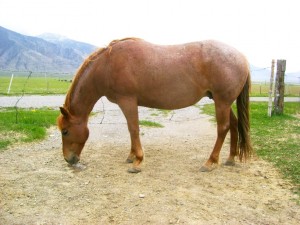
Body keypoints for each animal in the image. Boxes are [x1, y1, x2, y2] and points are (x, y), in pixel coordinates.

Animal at [56, 37, 253, 173]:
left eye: (65, 131)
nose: (68, 159)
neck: (107, 65)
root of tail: (242, 57)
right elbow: (131, 129)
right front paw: (131, 156)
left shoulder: (127, 101)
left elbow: (133, 129)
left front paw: (137, 161)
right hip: (222, 102)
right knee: (233, 124)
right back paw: (230, 158)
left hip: (222, 102)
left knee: (223, 128)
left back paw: (210, 162)